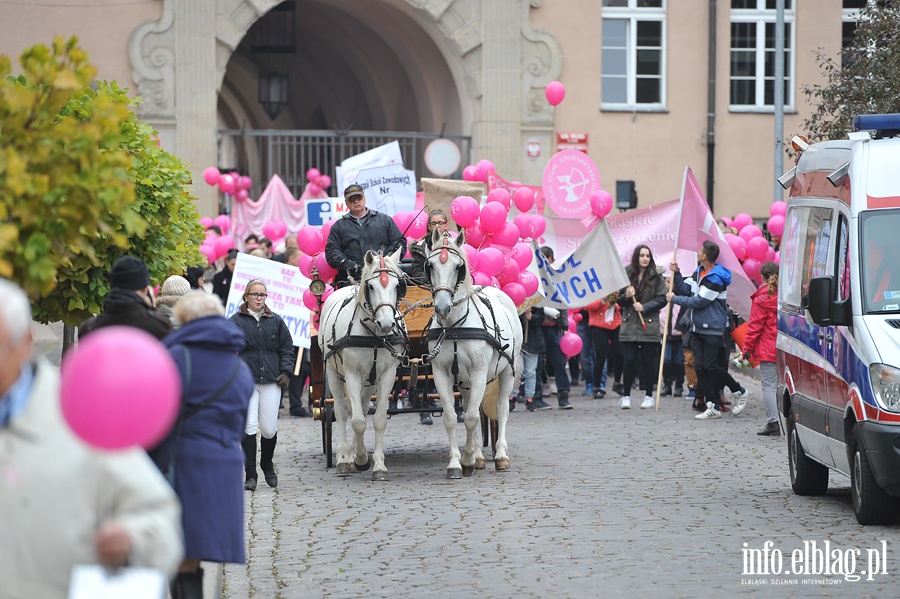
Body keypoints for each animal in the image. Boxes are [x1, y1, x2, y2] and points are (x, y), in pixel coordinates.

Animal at [320, 251, 408, 480]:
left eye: (398, 285)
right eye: (371, 287)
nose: (386, 323)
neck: (374, 336)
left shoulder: (386, 375)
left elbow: (378, 419)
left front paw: (378, 465)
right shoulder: (351, 374)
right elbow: (357, 421)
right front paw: (359, 460)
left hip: (369, 381)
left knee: (360, 405)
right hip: (333, 371)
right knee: (342, 411)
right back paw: (344, 458)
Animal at [426, 229, 524, 478]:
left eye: (458, 267)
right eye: (430, 265)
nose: (442, 308)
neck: (453, 327)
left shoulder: (480, 371)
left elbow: (470, 417)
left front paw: (468, 459)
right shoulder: (441, 373)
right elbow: (453, 418)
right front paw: (457, 462)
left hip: (506, 370)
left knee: (501, 408)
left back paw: (500, 455)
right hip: (465, 381)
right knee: (475, 407)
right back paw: (479, 456)